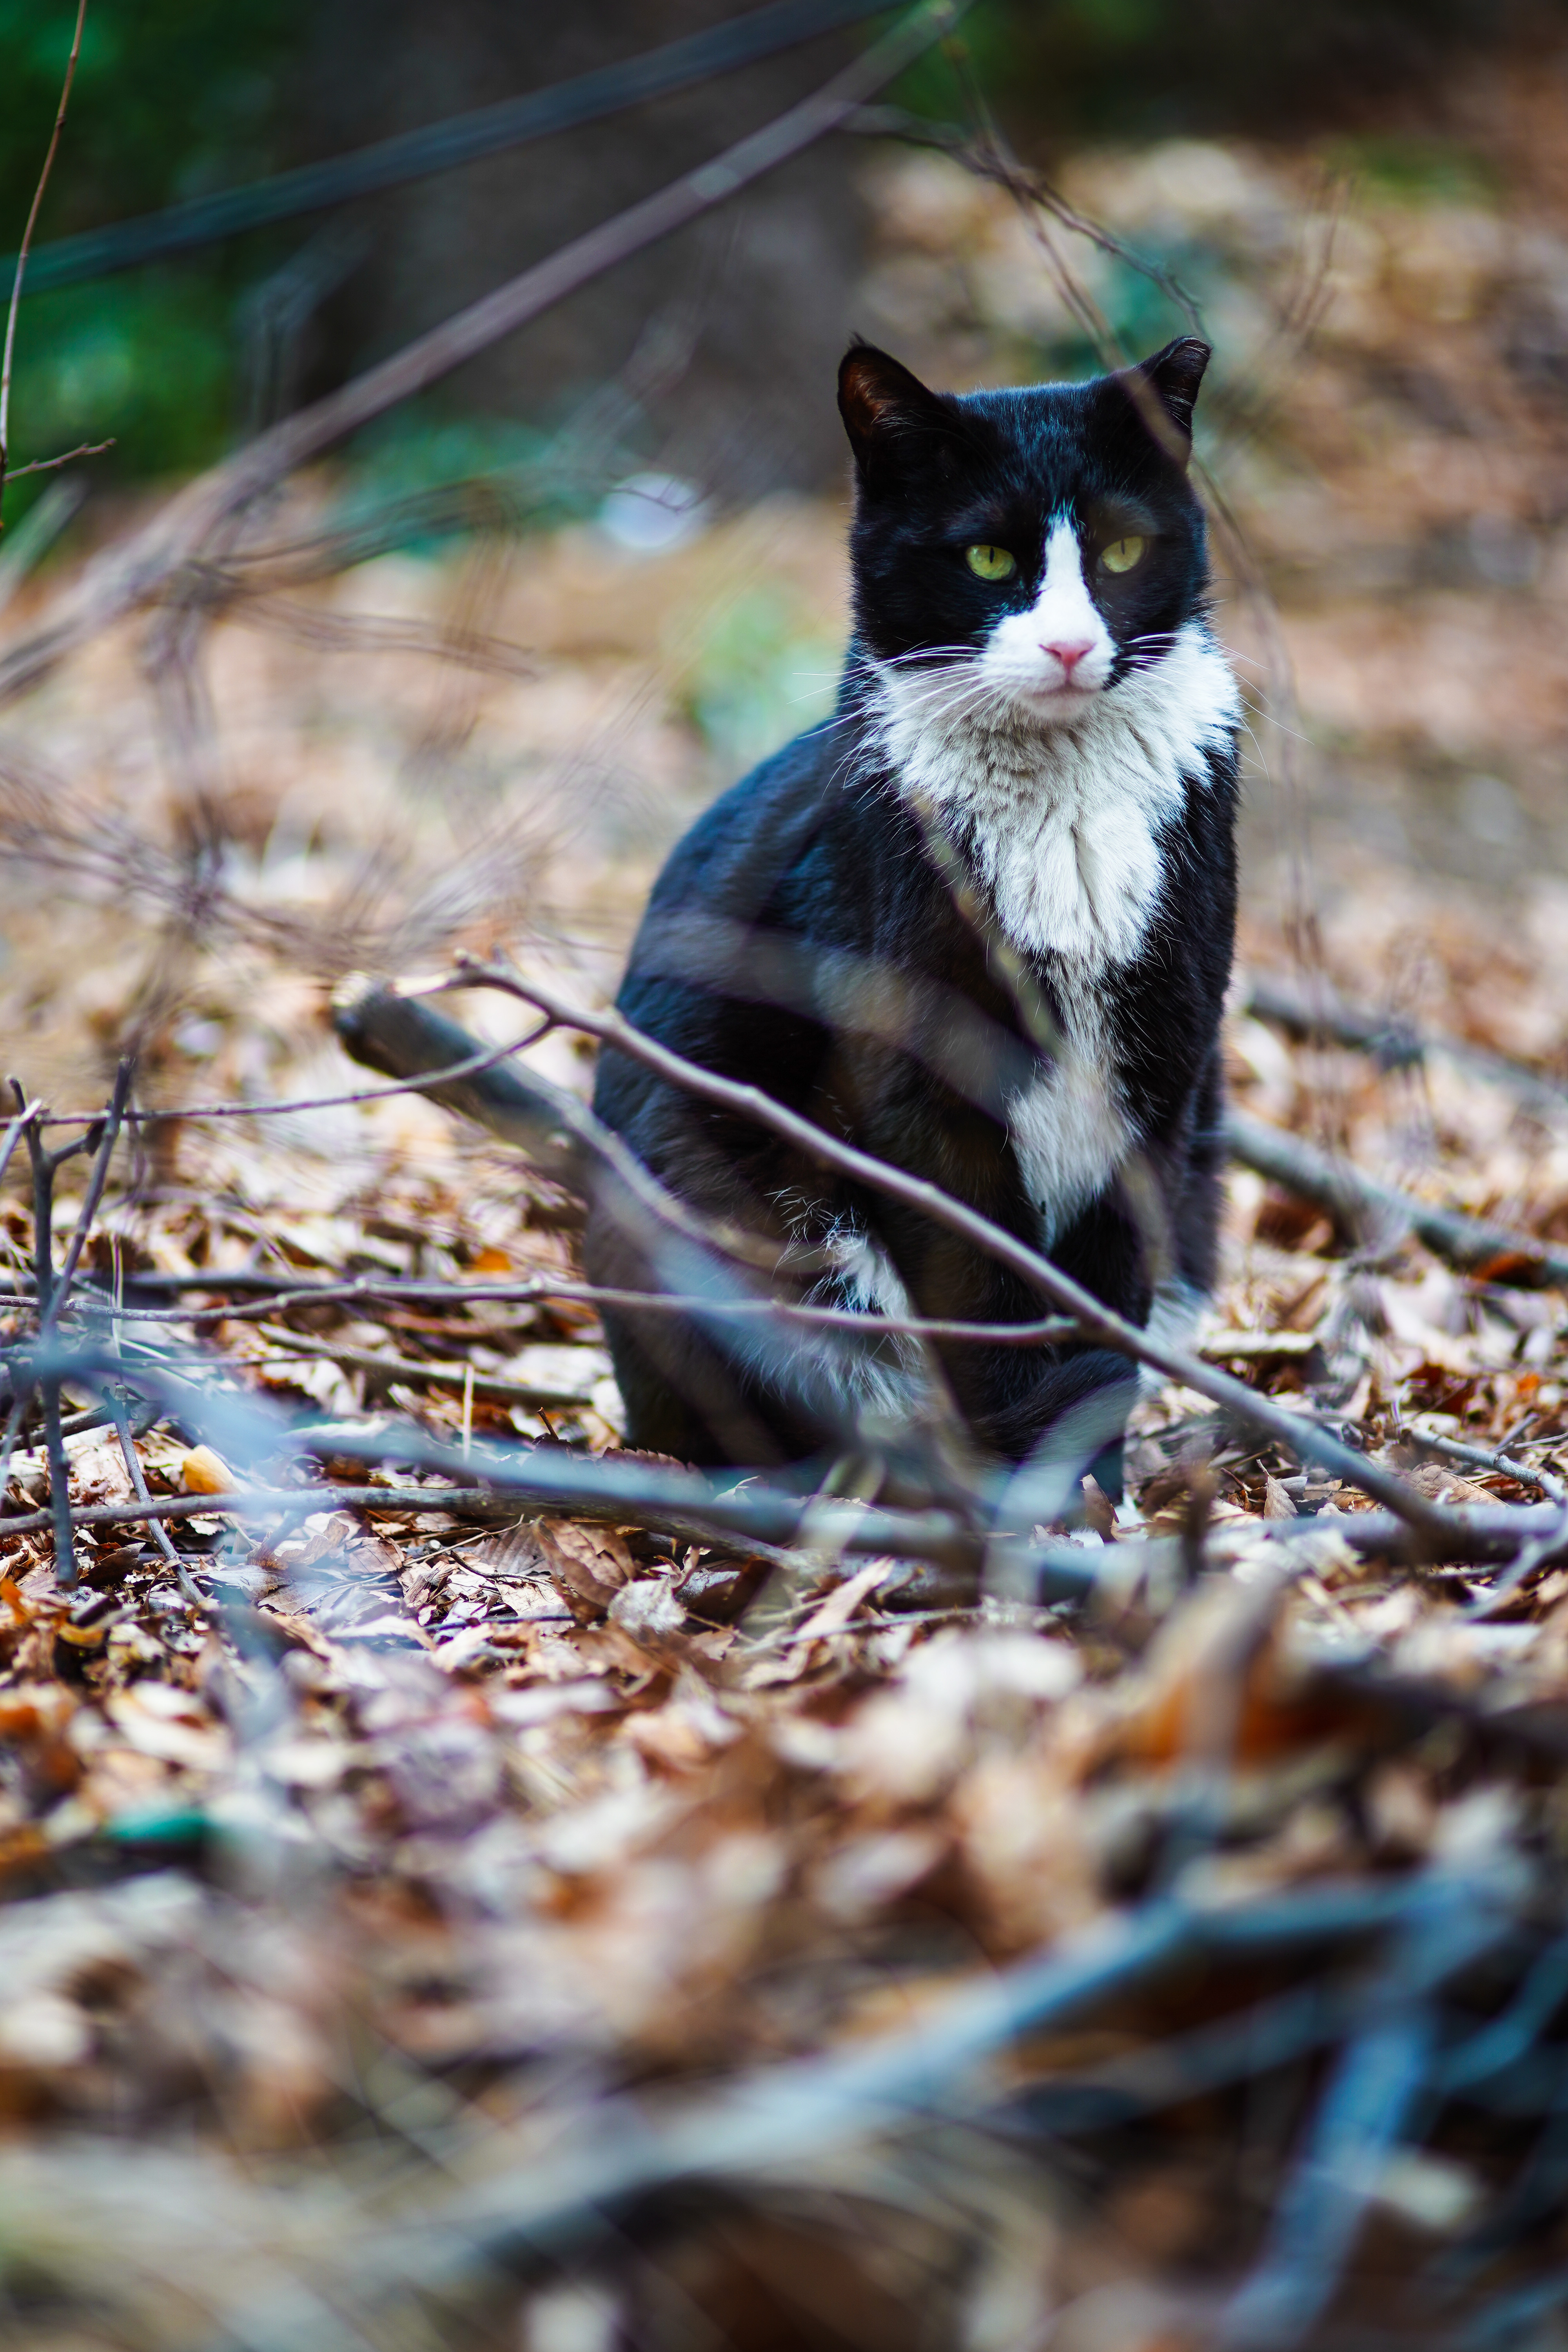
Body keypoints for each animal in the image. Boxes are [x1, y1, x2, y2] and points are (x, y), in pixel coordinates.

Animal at [585, 335, 1240, 1487]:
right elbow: (982, 1290)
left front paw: (1091, 1486)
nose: (1068, 647)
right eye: (985, 561)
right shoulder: (920, 1086)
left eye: (1120, 550)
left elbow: (1106, 1301)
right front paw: (1038, 1493)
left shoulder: (1160, 1080)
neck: (1063, 815)